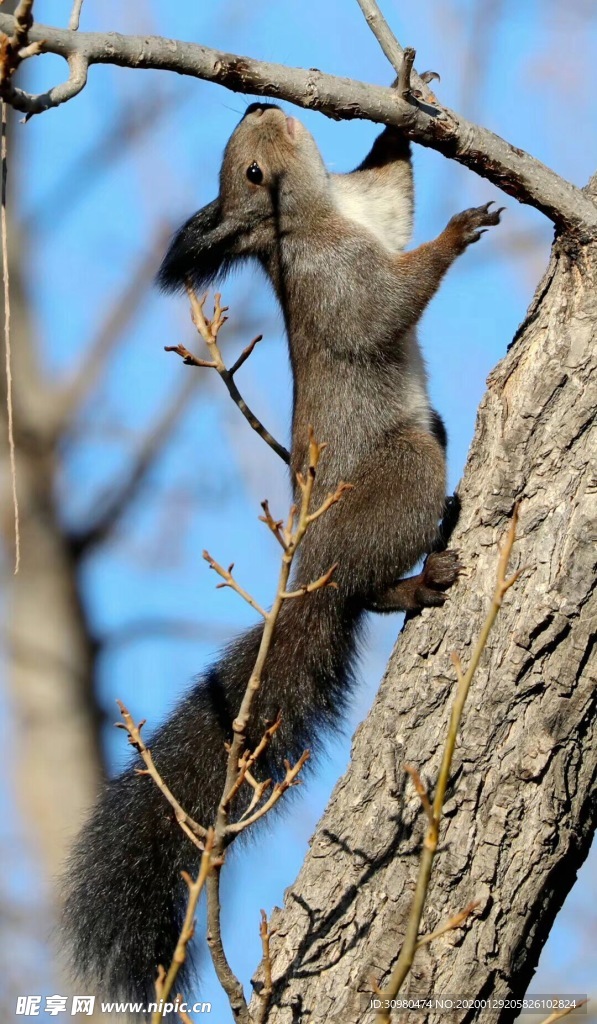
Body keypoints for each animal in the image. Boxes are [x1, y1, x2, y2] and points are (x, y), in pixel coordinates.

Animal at [60, 101, 501, 999]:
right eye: (252, 176)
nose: (258, 106)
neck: (323, 214)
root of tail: (309, 575)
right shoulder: (337, 280)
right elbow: (386, 305)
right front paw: (454, 233)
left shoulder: (369, 213)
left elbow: (394, 187)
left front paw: (405, 107)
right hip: (408, 467)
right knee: (361, 591)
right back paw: (418, 580)